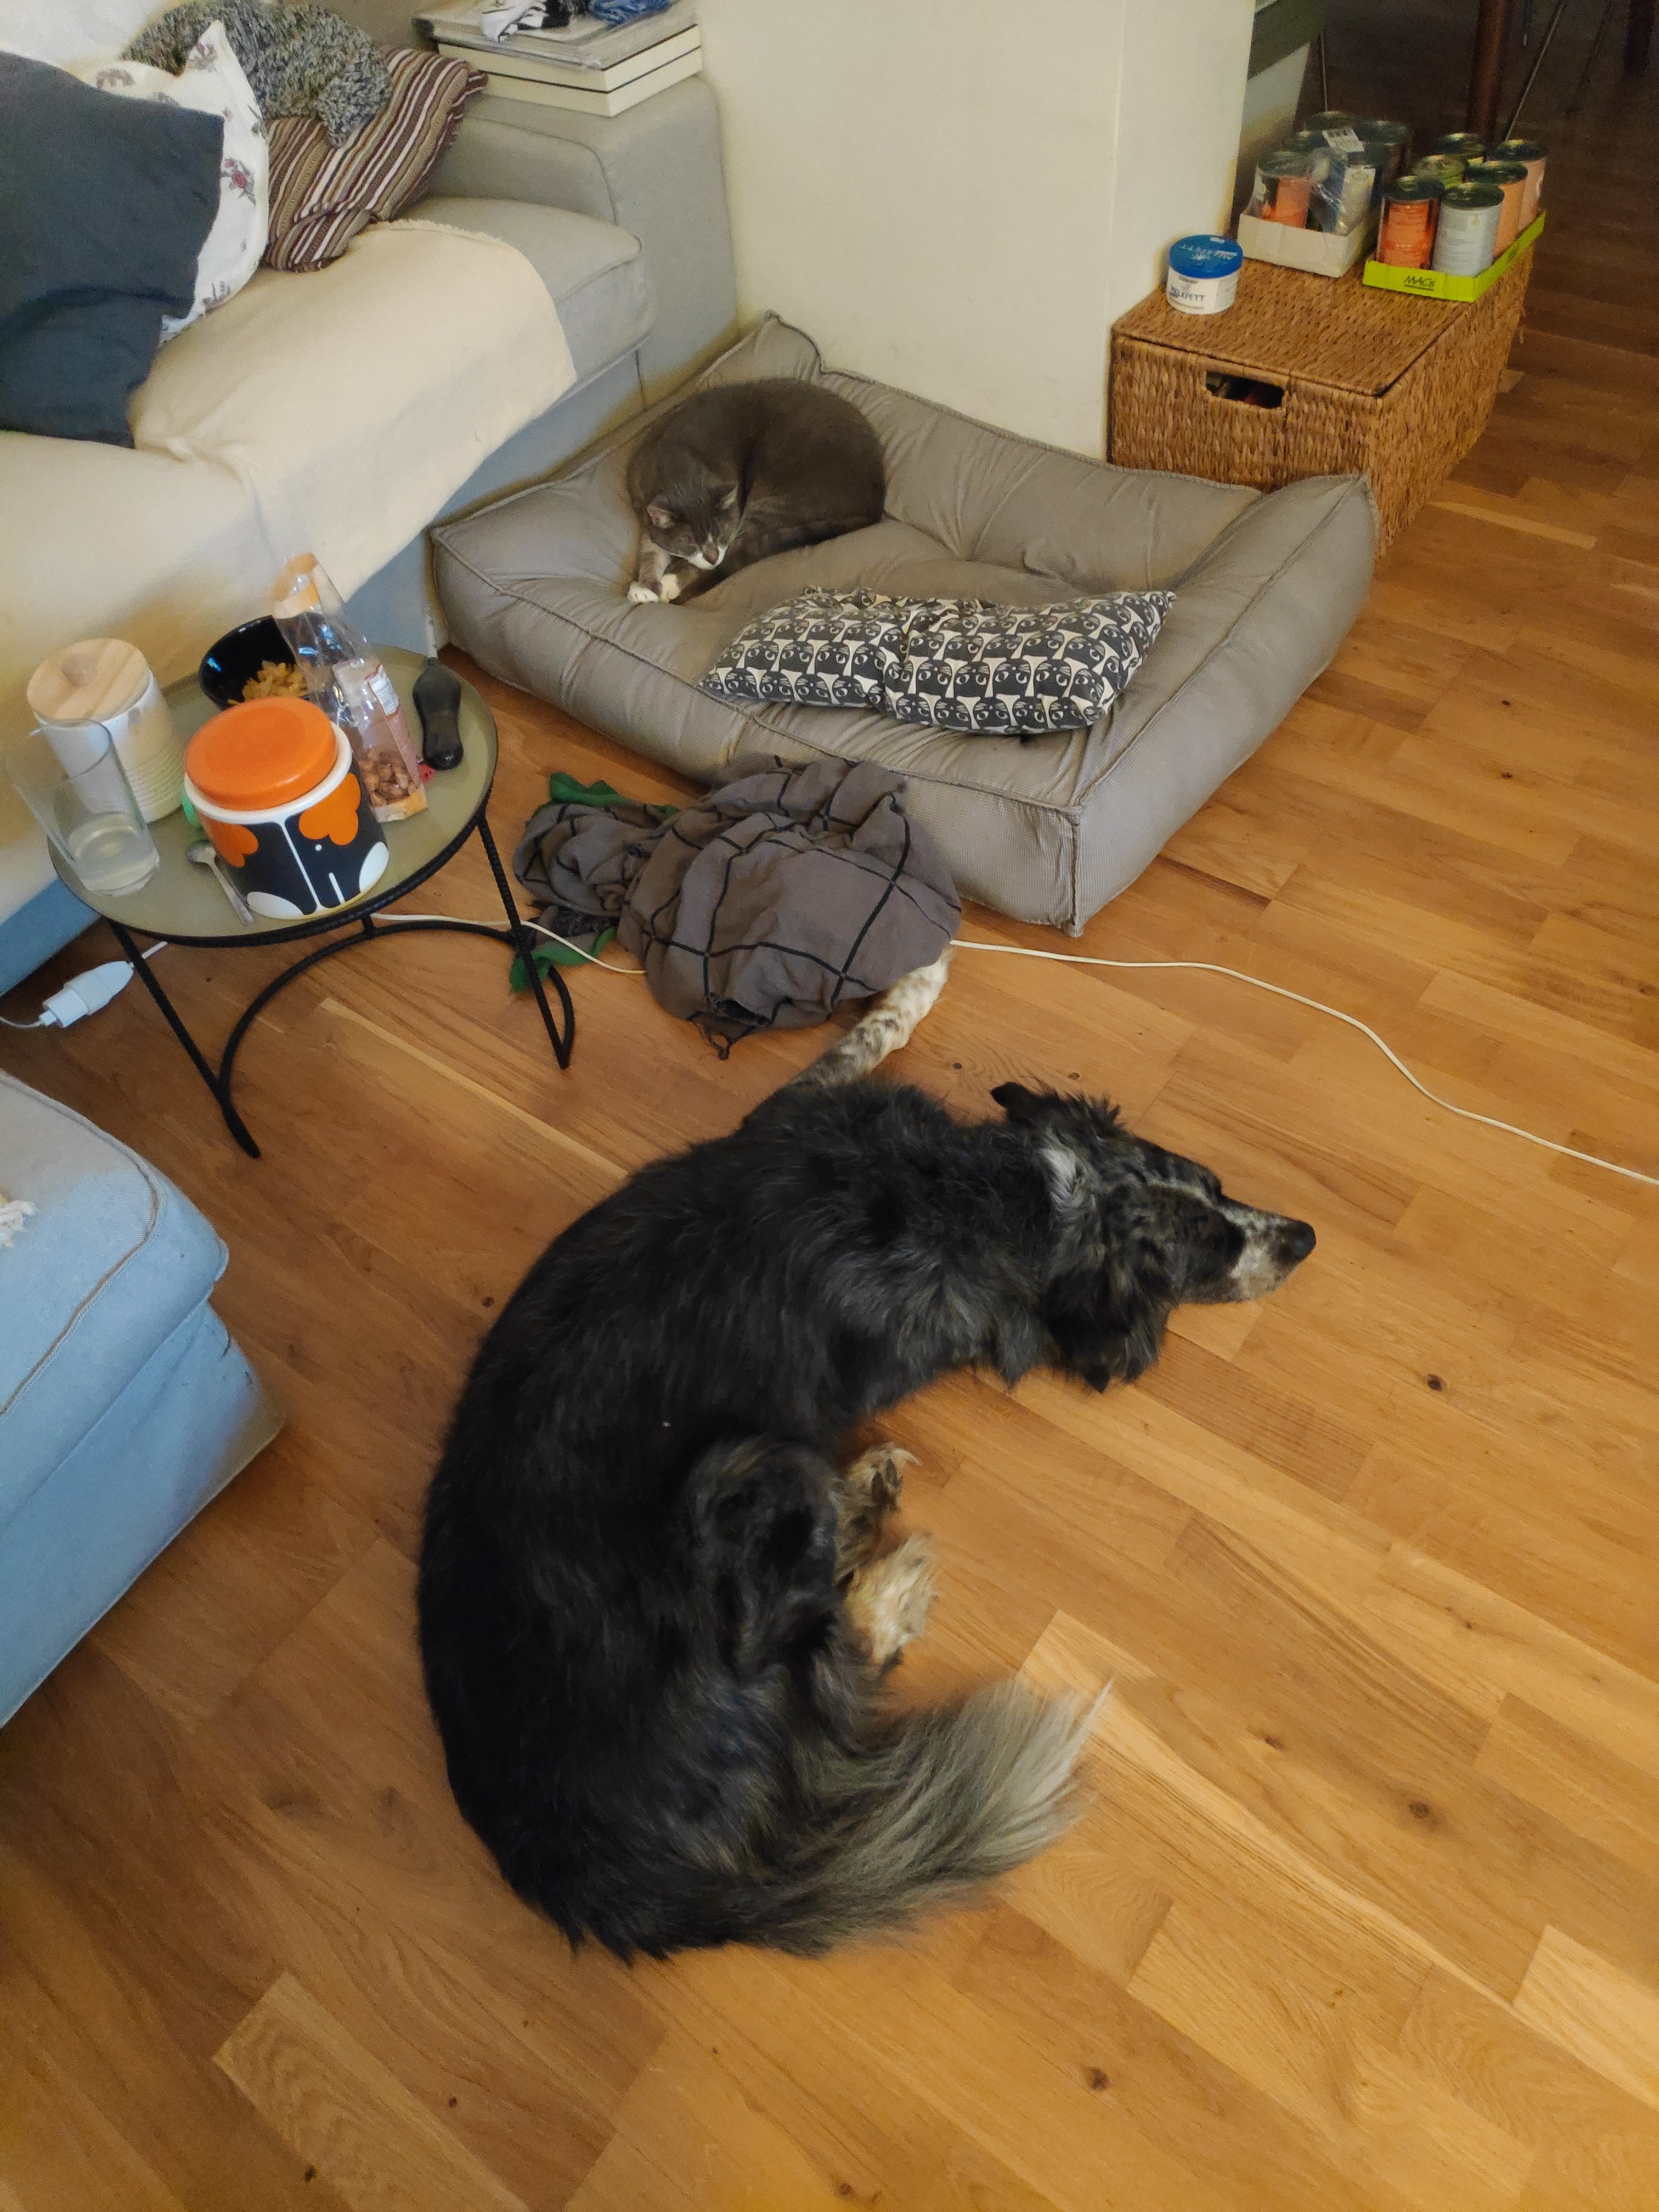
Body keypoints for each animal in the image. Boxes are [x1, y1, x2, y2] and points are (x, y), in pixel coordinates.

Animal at [417, 957, 1315, 1958]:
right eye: (1211, 1249)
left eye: (1218, 1185)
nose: (1305, 1238)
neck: (1014, 1193)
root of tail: (599, 1879)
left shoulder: (785, 1109)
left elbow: (849, 1047)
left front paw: (911, 987)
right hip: (745, 1473)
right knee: (830, 1647)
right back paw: (883, 1557)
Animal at [625, 379, 885, 606]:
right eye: (688, 540)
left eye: (721, 532)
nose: (712, 557)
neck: (679, 471)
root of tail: (875, 507)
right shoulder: (647, 516)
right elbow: (650, 553)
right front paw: (645, 587)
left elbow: (716, 556)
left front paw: (668, 582)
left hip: (776, 504)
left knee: (739, 551)